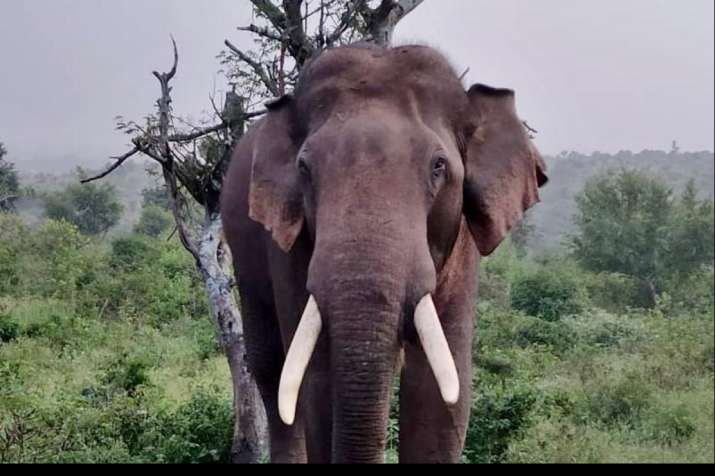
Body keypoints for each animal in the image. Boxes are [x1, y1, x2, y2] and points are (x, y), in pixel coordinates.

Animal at [221, 42, 552, 462]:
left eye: (438, 166)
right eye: (304, 168)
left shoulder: (461, 247)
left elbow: (438, 389)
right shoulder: (290, 244)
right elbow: (317, 379)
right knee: (271, 370)